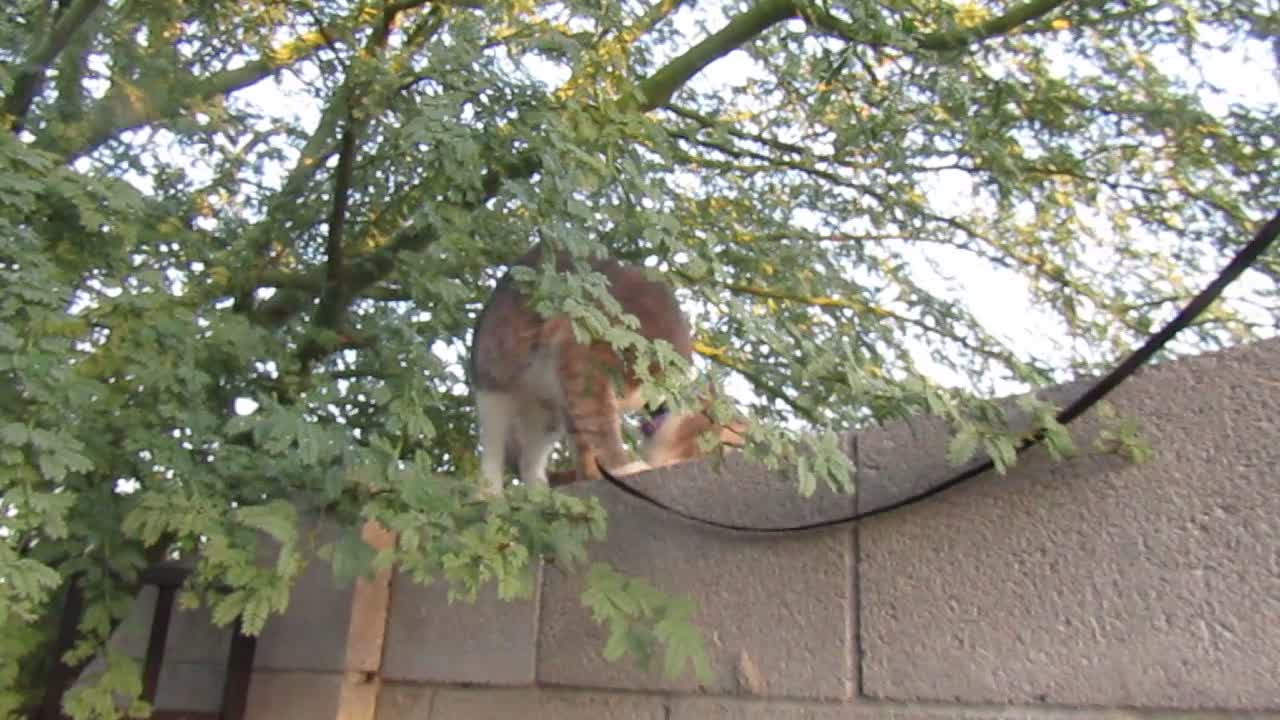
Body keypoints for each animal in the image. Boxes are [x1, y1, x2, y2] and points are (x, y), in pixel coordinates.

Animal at [468, 242, 747, 491]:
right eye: (712, 443)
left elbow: (584, 439)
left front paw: (592, 475)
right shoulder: (585, 359)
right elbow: (600, 424)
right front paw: (623, 467)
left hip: (546, 415)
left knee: (529, 458)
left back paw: (539, 493)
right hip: (497, 378)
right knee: (494, 447)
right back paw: (490, 494)